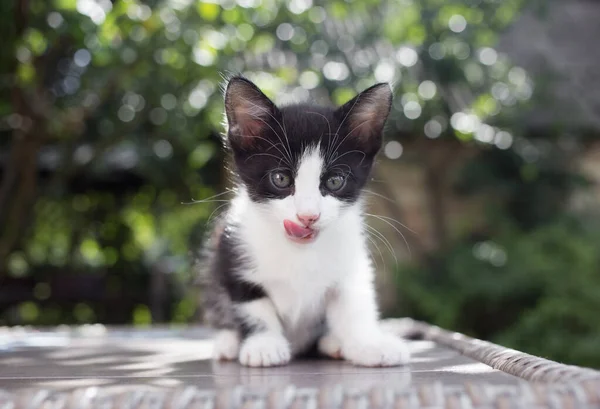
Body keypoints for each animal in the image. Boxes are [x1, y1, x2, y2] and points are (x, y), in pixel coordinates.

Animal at [199, 75, 410, 366]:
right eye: (280, 179)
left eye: (334, 181)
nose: (308, 215)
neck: (300, 250)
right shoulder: (232, 254)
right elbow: (252, 307)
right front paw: (264, 344)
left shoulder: (352, 265)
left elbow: (353, 306)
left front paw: (367, 343)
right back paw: (228, 343)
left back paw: (333, 342)